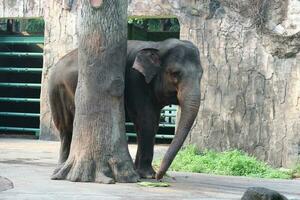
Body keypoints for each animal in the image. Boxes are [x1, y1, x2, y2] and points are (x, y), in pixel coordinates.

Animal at [49, 38, 203, 180]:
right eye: (175, 73)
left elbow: (153, 124)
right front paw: (148, 175)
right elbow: (146, 121)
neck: (157, 45)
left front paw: (140, 172)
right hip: (56, 91)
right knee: (65, 128)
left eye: (201, 74)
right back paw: (59, 168)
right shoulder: (136, 81)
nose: (159, 176)